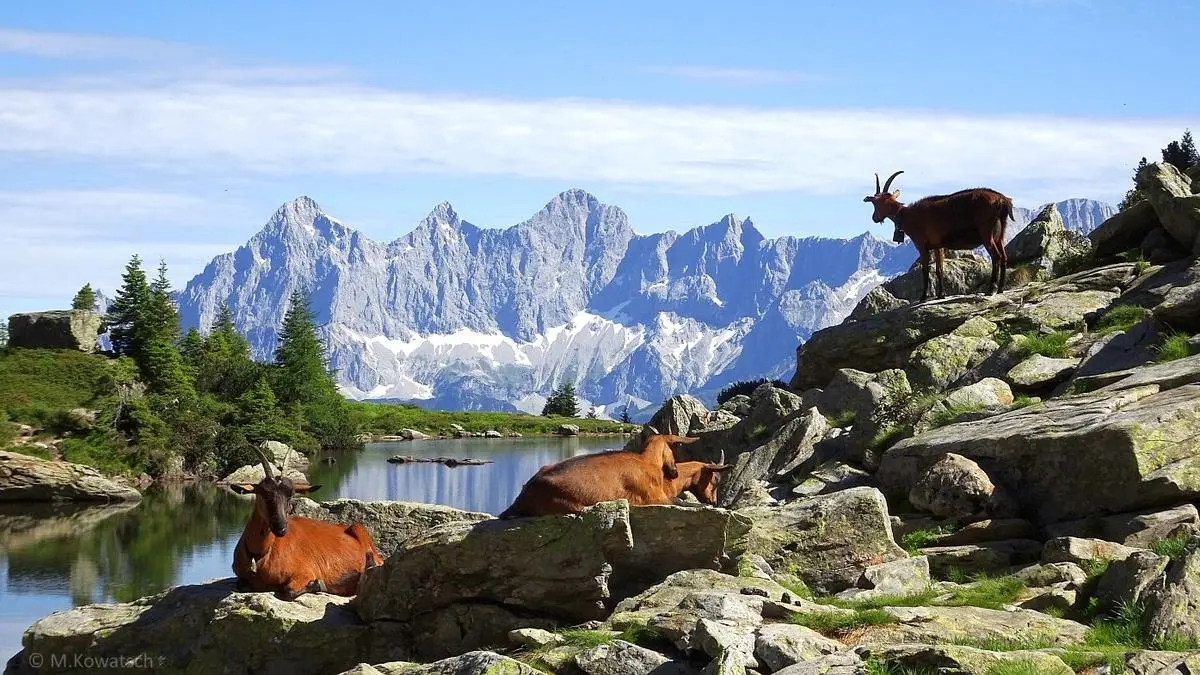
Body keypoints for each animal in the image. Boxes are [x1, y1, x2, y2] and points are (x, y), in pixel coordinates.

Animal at [229, 445, 384, 600]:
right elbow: (241, 585)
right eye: (263, 494)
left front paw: (318, 585)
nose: (281, 528)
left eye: (290, 496)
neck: (259, 554)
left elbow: (289, 591)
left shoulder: (305, 572)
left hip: (361, 532)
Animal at [864, 170, 1014, 300]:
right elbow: (939, 269)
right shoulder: (938, 245)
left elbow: (925, 270)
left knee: (996, 256)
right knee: (1004, 256)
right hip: (1000, 235)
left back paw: (991, 289)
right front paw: (941, 294)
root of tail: (1002, 200)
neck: (906, 215)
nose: (874, 218)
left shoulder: (921, 246)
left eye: (876, 203)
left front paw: (923, 297)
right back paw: (1000, 289)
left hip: (987, 233)